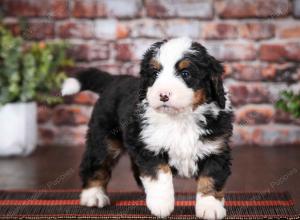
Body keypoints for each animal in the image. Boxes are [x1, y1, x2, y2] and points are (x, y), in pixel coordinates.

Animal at [62, 37, 233, 219]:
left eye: (185, 73)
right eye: (155, 74)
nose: (163, 95)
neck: (180, 119)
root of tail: (114, 80)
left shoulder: (215, 149)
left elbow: (211, 179)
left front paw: (210, 207)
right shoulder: (150, 147)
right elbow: (160, 175)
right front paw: (161, 204)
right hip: (105, 139)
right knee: (96, 164)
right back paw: (93, 195)